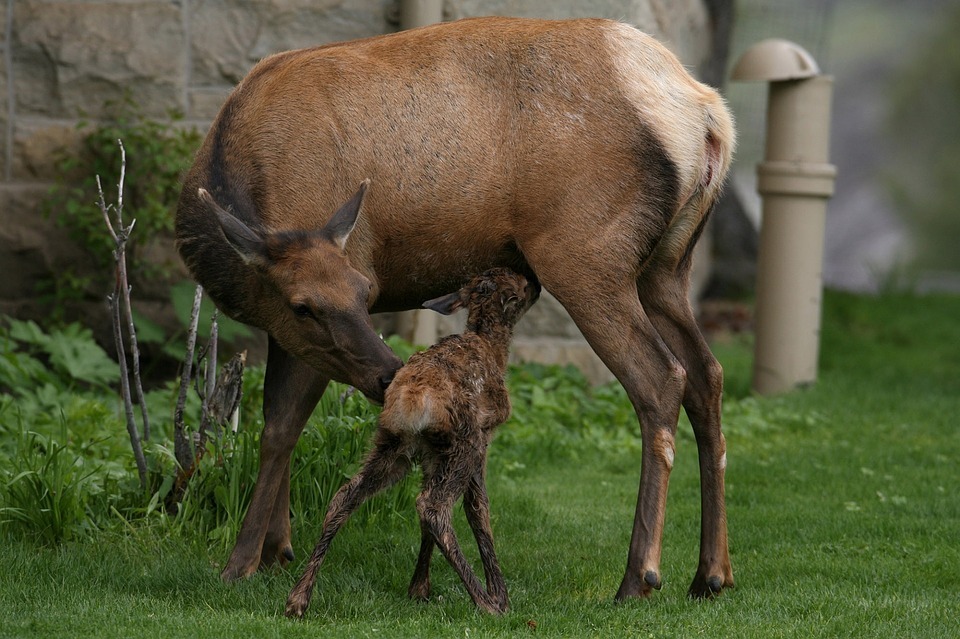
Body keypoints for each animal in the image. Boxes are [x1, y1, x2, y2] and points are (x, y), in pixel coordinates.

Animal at [284, 267, 540, 618]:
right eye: (521, 284)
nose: (537, 283)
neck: (493, 346)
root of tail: (412, 397)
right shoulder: (484, 436)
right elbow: (479, 509)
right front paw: (499, 595)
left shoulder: (432, 454)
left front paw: (419, 589)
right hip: (463, 442)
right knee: (433, 506)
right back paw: (485, 603)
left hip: (392, 445)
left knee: (345, 497)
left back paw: (297, 598)